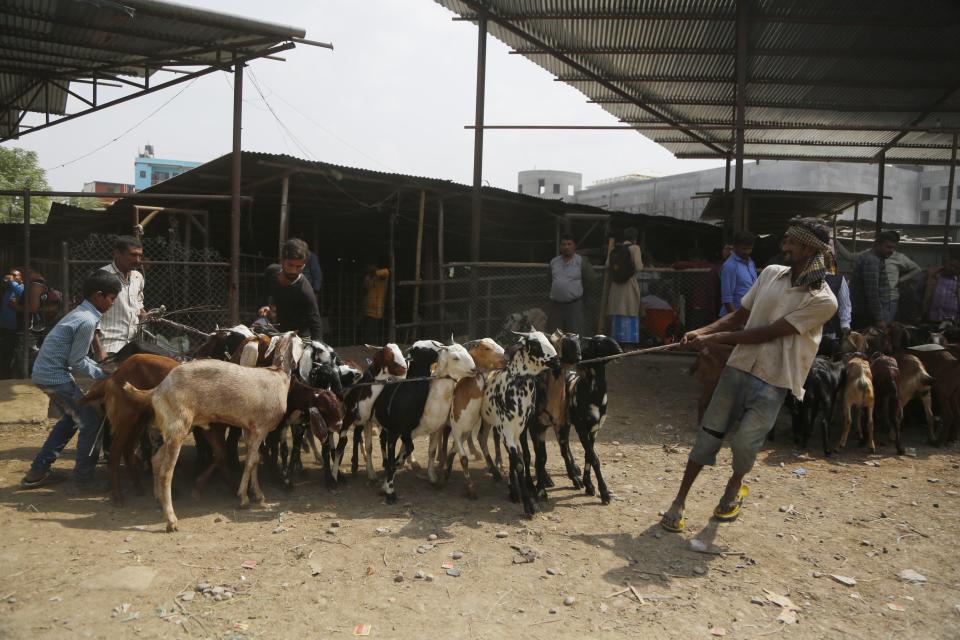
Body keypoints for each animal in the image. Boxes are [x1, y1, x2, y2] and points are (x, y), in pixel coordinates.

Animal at [122, 332, 304, 532]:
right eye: (303, 344)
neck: (279, 375)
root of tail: (157, 390)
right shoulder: (259, 428)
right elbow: (250, 462)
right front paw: (243, 498)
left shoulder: (249, 428)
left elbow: (255, 460)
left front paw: (258, 494)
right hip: (178, 426)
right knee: (166, 472)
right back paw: (171, 520)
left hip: (174, 429)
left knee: (155, 460)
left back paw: (157, 498)